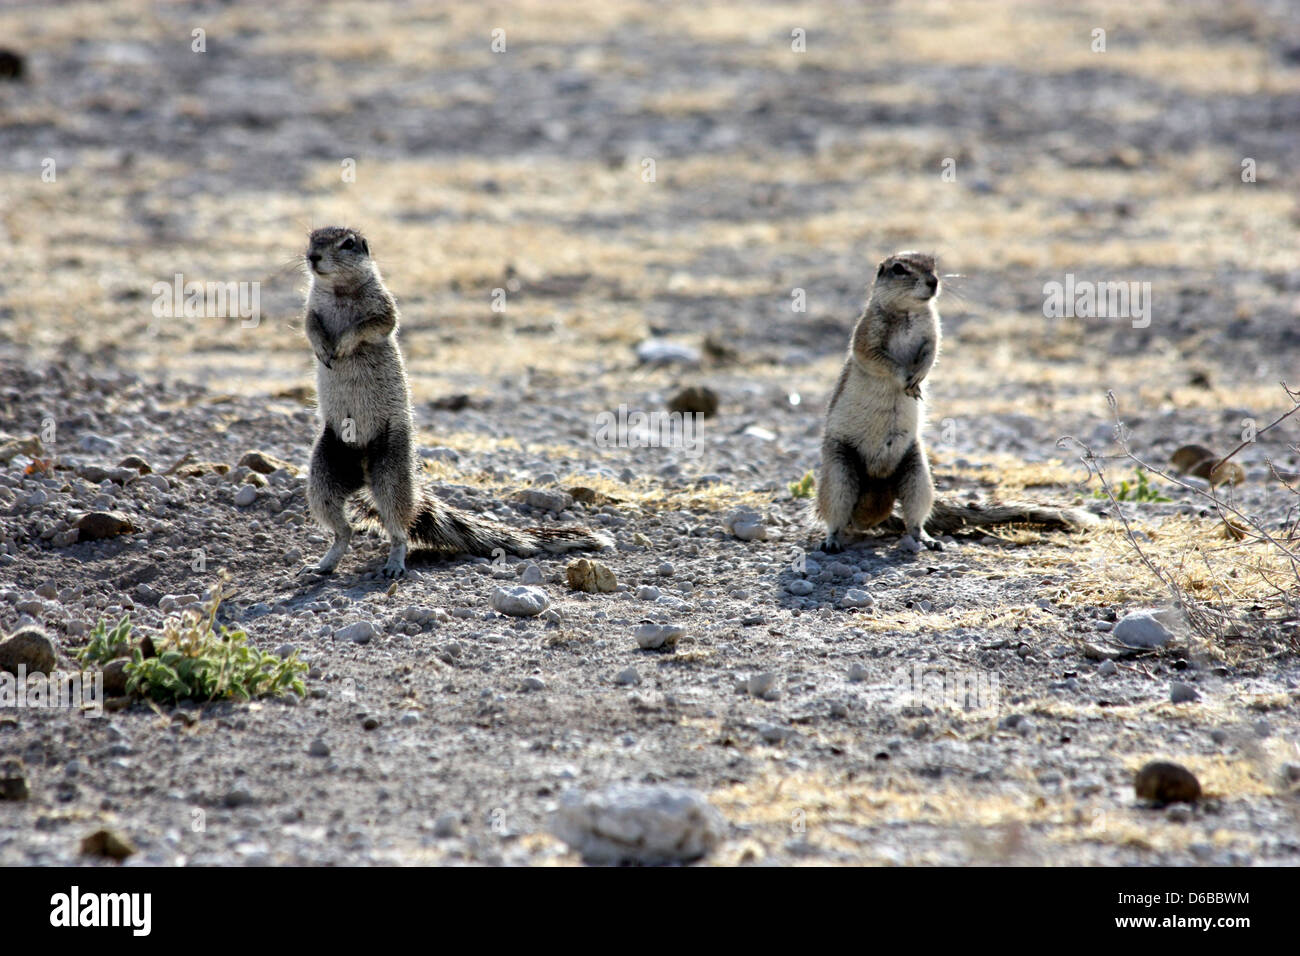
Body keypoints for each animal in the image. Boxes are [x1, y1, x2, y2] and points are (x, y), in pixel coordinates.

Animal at [298, 226, 611, 578]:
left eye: (348, 243)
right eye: (311, 239)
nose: (313, 257)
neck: (339, 289)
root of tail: (364, 472)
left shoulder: (383, 307)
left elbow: (375, 325)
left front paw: (343, 345)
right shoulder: (312, 308)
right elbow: (310, 324)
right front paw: (322, 348)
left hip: (391, 468)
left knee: (399, 527)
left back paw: (394, 564)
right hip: (324, 470)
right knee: (344, 529)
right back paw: (323, 564)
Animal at [816, 251, 1095, 553]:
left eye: (933, 264)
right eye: (899, 269)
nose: (933, 282)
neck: (908, 311)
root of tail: (875, 499)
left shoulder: (932, 333)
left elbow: (931, 354)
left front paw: (919, 379)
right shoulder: (868, 333)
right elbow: (877, 358)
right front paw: (905, 378)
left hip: (917, 473)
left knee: (915, 517)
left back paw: (926, 539)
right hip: (839, 472)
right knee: (835, 513)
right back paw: (832, 540)